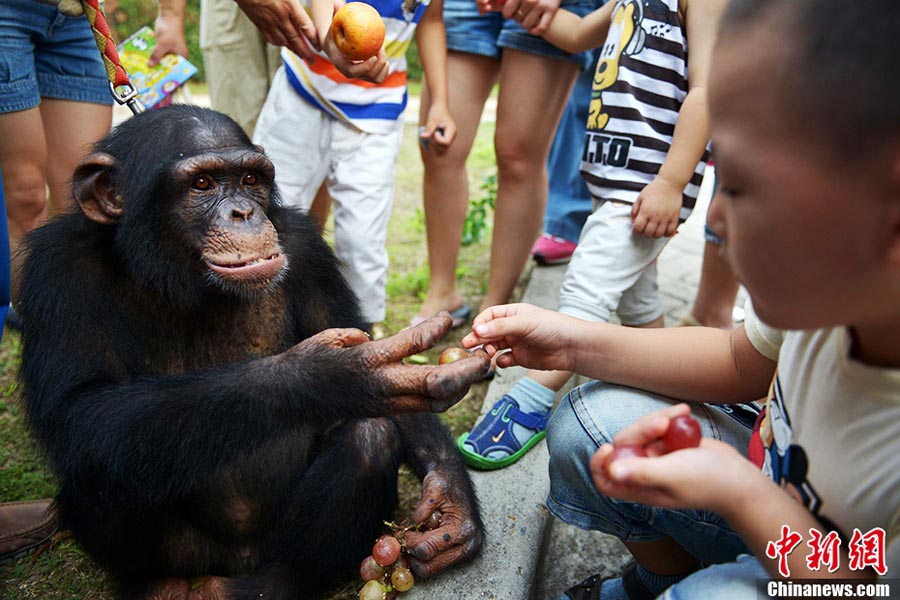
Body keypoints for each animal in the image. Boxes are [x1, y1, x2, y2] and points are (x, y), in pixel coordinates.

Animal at [15, 105, 486, 596]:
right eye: (202, 183)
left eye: (249, 179)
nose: (243, 212)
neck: (178, 274)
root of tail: (234, 562)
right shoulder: (57, 271)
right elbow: (79, 410)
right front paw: (333, 375)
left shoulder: (306, 247)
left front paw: (451, 505)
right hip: (192, 551)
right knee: (105, 457)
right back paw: (160, 585)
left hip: (266, 547)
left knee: (369, 437)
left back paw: (270, 585)